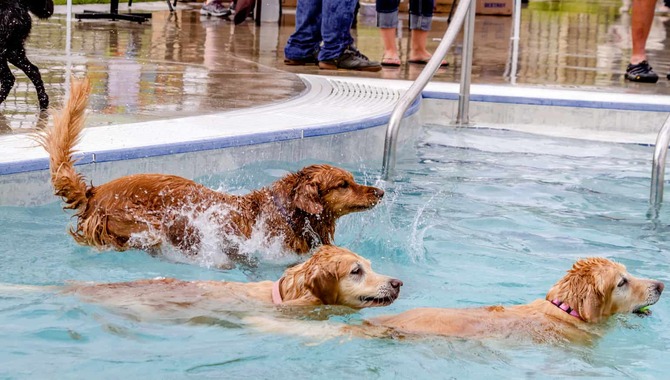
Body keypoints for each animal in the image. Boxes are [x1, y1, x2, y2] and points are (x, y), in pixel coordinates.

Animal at [38, 80, 384, 262]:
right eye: (343, 184)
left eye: (352, 180)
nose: (380, 192)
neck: (287, 213)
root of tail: (94, 193)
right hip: (144, 227)